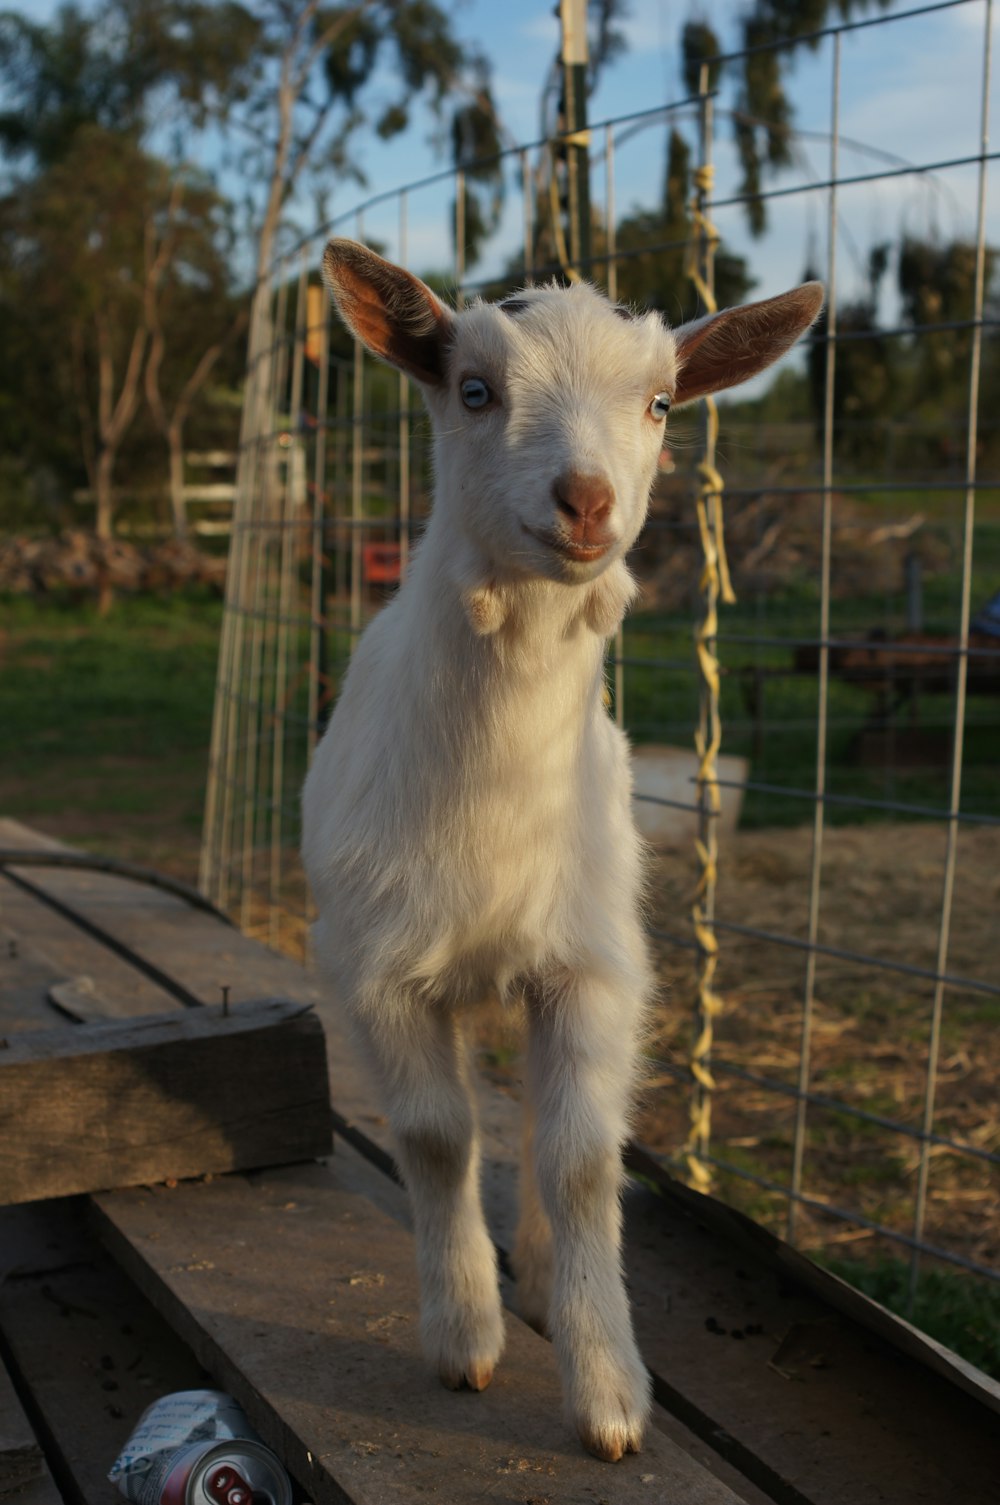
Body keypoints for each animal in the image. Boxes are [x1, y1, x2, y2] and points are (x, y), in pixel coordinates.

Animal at [302, 243, 819, 1456]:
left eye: (662, 402)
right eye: (474, 389)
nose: (587, 501)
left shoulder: (593, 969)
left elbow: (582, 1160)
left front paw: (610, 1394)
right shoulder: (374, 968)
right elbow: (437, 1137)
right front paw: (463, 1337)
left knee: (548, 1121)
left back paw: (542, 1274)